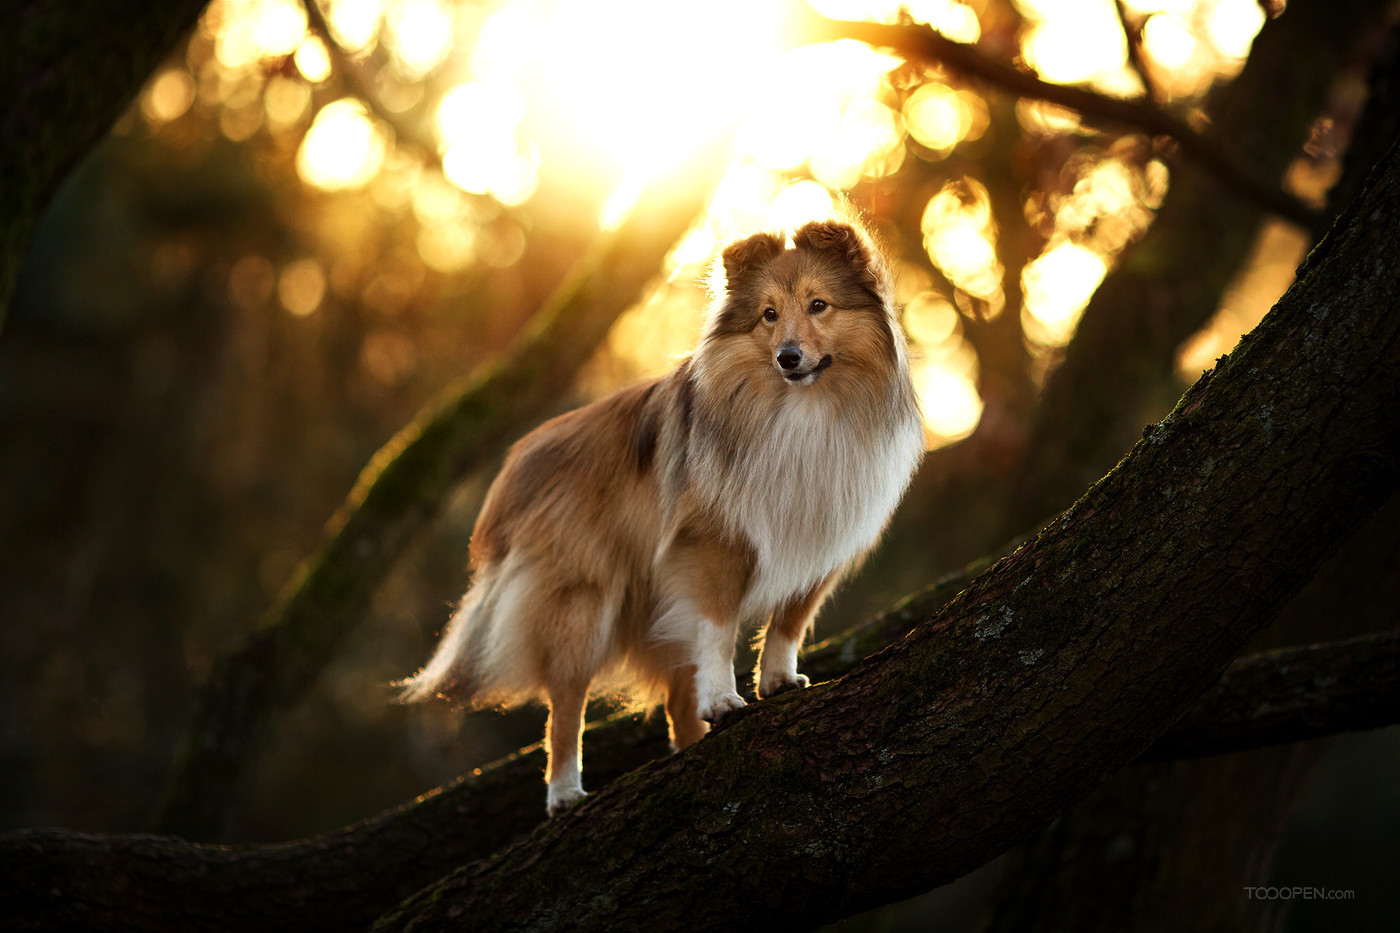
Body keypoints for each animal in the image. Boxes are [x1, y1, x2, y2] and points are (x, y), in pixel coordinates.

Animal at [403, 214, 929, 812]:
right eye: (768, 314)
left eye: (819, 305)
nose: (788, 357)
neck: (803, 410)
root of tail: (519, 464)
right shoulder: (713, 546)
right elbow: (720, 630)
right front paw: (724, 698)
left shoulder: (821, 540)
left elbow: (790, 622)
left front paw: (777, 680)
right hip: (583, 603)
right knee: (565, 708)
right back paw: (565, 791)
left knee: (676, 701)